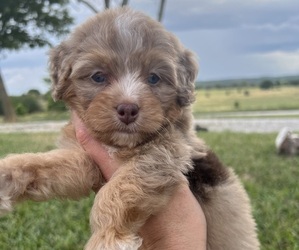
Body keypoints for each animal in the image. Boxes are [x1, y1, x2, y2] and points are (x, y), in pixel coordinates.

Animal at [0, 6, 260, 249]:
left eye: (154, 78)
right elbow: (50, 164)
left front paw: (107, 238)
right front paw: (7, 175)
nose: (128, 109)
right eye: (98, 77)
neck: (121, 145)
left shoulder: (167, 151)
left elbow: (123, 185)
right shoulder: (91, 162)